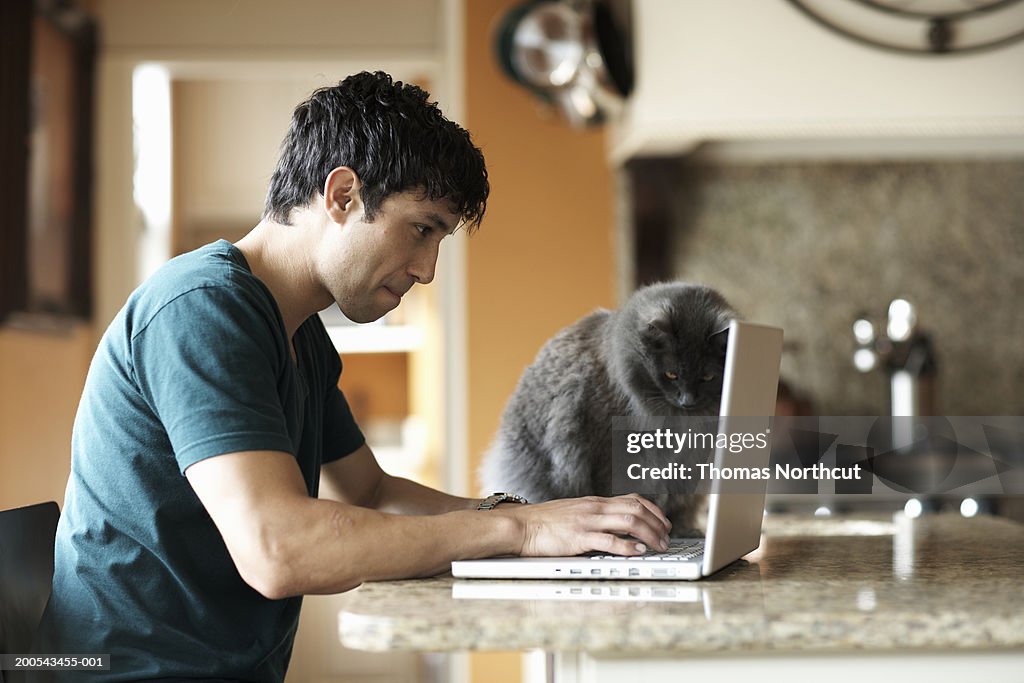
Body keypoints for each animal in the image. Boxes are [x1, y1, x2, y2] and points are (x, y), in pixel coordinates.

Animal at [479, 280, 737, 532]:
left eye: (707, 377)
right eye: (671, 374)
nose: (687, 400)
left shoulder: (690, 464)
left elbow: (681, 505)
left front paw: (684, 530)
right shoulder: (613, 452)